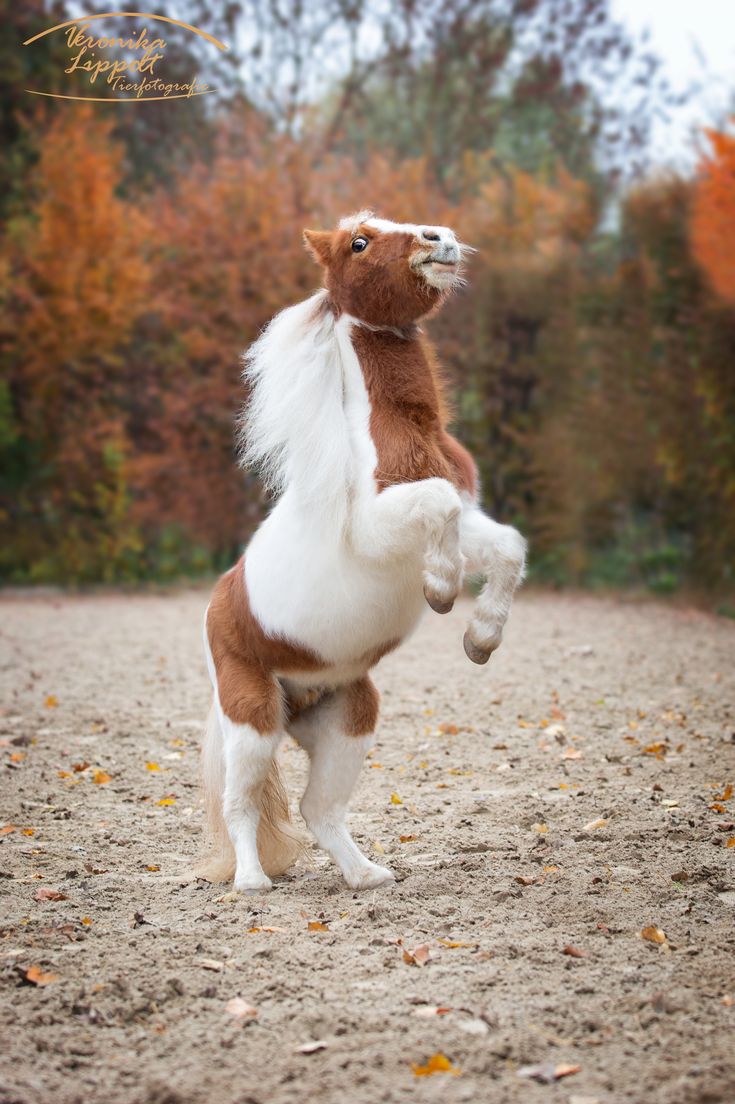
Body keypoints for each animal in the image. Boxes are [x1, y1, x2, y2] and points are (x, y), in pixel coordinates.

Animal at [197, 210, 523, 892]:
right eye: (359, 241)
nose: (438, 239)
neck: (398, 434)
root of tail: (217, 604)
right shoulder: (379, 528)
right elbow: (438, 506)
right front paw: (441, 590)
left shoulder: (470, 519)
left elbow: (506, 546)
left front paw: (480, 639)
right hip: (252, 720)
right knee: (242, 804)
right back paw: (252, 882)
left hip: (348, 717)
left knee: (317, 809)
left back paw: (367, 875)